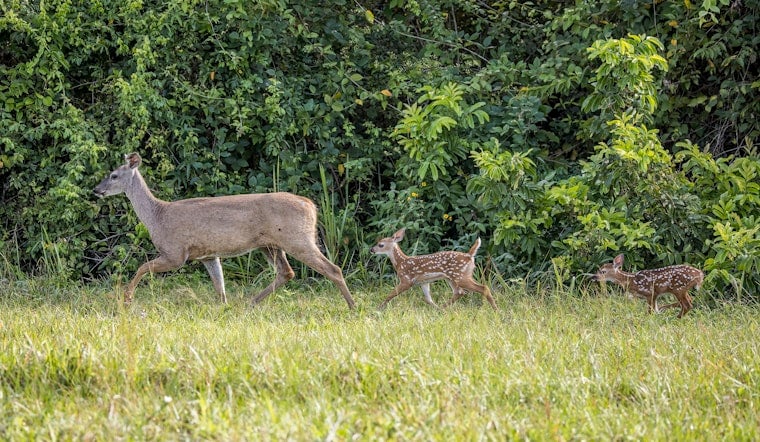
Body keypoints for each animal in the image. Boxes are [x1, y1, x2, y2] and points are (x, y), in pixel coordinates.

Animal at [93, 152, 355, 309]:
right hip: (270, 244)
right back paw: (250, 303)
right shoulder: (208, 255)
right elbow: (220, 287)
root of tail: (310, 205)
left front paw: (126, 299)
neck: (157, 216)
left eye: (113, 175)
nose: (96, 190)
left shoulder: (175, 253)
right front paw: (223, 308)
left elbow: (142, 267)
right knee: (286, 272)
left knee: (332, 269)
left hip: (296, 239)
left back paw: (352, 306)